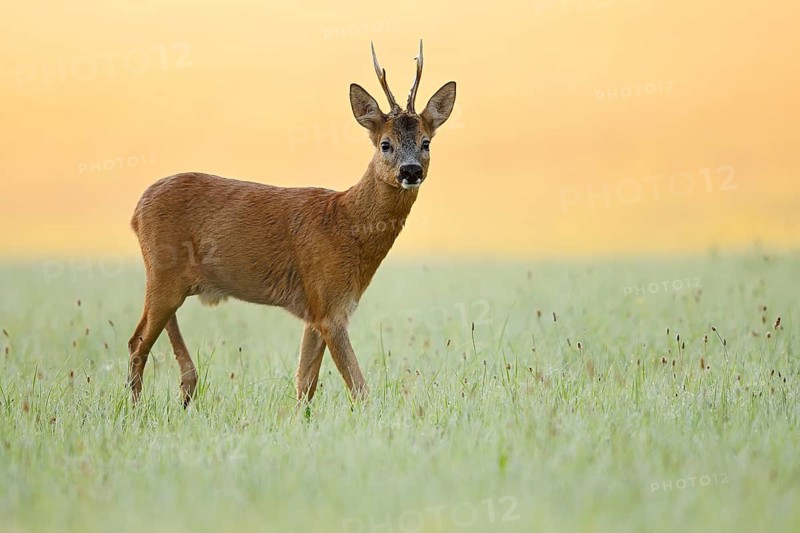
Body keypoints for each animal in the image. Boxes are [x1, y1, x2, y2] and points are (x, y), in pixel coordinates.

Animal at [127, 40, 456, 407]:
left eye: (426, 143)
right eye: (386, 144)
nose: (411, 170)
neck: (346, 223)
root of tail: (137, 210)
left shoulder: (317, 310)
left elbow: (304, 385)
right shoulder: (328, 302)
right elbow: (358, 388)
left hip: (171, 280)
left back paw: (183, 390)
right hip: (162, 274)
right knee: (136, 342)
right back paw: (138, 408)